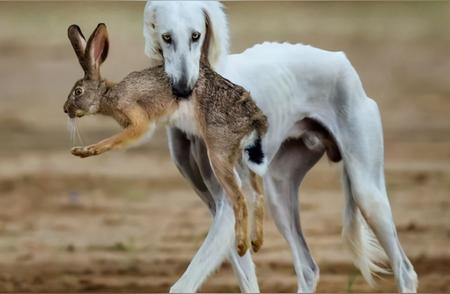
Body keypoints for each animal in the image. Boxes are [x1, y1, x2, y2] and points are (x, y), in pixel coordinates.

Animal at [142, 1, 416, 292]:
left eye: (196, 35)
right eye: (166, 37)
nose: (183, 89)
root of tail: (341, 60)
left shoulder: (231, 202)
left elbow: (182, 285)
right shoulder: (217, 205)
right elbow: (247, 280)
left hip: (367, 192)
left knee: (405, 270)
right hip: (279, 190)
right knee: (308, 268)